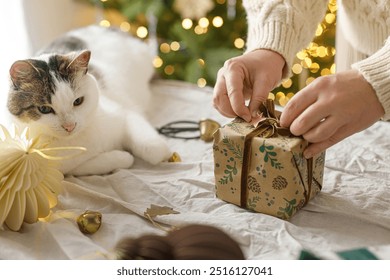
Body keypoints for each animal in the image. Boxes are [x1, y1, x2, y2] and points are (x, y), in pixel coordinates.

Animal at [5, 25, 171, 175]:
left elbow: (154, 149)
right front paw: (122, 156)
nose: (70, 126)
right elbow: (92, 165)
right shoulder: (66, 170)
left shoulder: (125, 112)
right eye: (44, 109)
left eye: (78, 101)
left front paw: (166, 154)